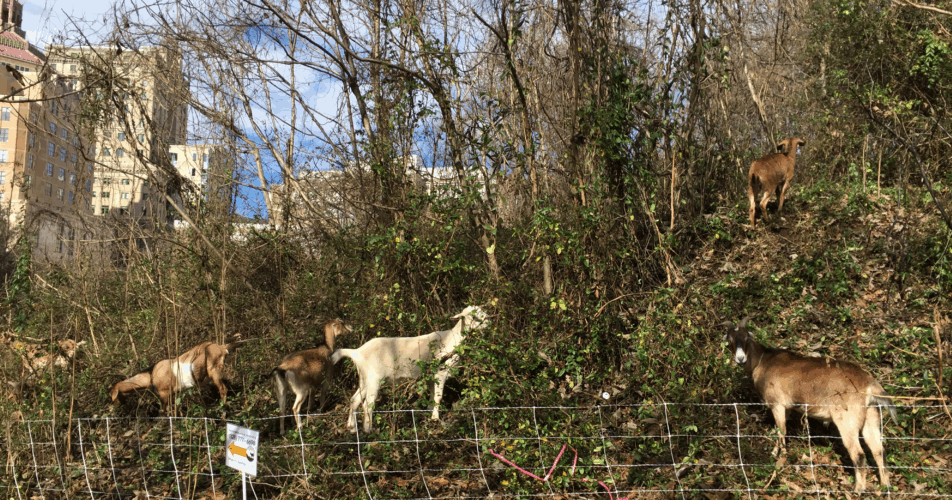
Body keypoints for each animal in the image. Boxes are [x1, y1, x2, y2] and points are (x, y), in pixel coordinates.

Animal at [331, 305, 489, 433]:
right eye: (472, 316)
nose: (487, 322)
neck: (452, 339)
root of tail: (357, 352)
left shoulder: (431, 375)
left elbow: (432, 396)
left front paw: (429, 414)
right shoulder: (441, 371)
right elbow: (438, 397)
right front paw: (436, 419)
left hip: (364, 379)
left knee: (354, 400)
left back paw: (352, 428)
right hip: (374, 379)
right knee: (367, 404)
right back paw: (368, 430)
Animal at [723, 317, 896, 492]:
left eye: (746, 338)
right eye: (730, 340)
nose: (740, 358)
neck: (762, 360)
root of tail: (869, 384)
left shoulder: (777, 403)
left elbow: (782, 431)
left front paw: (779, 457)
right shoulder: (787, 407)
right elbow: (780, 429)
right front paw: (775, 452)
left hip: (848, 418)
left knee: (859, 454)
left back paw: (858, 489)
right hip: (871, 416)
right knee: (879, 450)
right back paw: (884, 486)